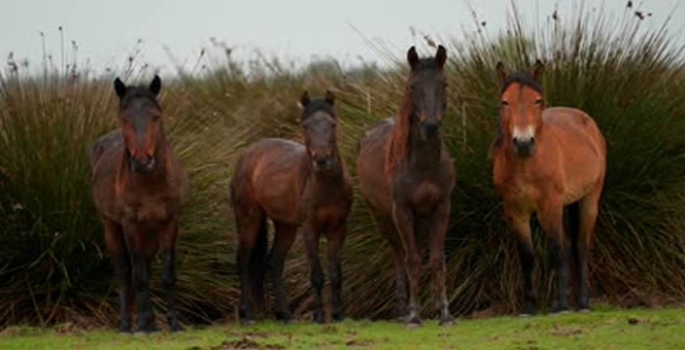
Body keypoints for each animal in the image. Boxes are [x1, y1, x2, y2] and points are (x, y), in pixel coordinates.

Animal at [90, 76, 190, 334]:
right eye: (124, 118)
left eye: (155, 116)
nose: (143, 161)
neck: (151, 184)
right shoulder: (130, 225)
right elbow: (139, 275)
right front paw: (143, 325)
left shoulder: (170, 222)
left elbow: (166, 274)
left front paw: (174, 323)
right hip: (111, 226)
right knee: (124, 272)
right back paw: (127, 324)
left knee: (145, 265)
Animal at [230, 91, 352, 326]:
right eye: (305, 125)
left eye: (332, 124)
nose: (321, 159)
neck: (326, 187)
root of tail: (246, 156)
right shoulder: (310, 229)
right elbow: (317, 275)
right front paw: (319, 317)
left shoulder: (338, 229)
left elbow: (336, 274)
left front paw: (339, 315)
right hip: (249, 220)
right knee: (243, 261)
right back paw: (247, 314)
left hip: (285, 227)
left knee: (274, 263)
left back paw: (284, 314)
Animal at [358, 45, 454, 326]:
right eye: (413, 86)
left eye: (444, 83)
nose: (431, 126)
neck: (422, 165)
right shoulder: (402, 210)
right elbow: (412, 260)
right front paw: (414, 314)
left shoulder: (441, 207)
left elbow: (436, 259)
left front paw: (444, 312)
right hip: (384, 218)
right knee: (399, 254)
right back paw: (402, 308)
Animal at [492, 59, 604, 314]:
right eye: (505, 102)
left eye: (537, 100)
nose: (523, 143)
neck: (526, 164)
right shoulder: (516, 212)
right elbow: (528, 256)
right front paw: (529, 307)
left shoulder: (550, 206)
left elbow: (556, 251)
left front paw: (562, 306)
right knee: (568, 244)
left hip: (588, 201)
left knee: (580, 246)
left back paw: (582, 303)